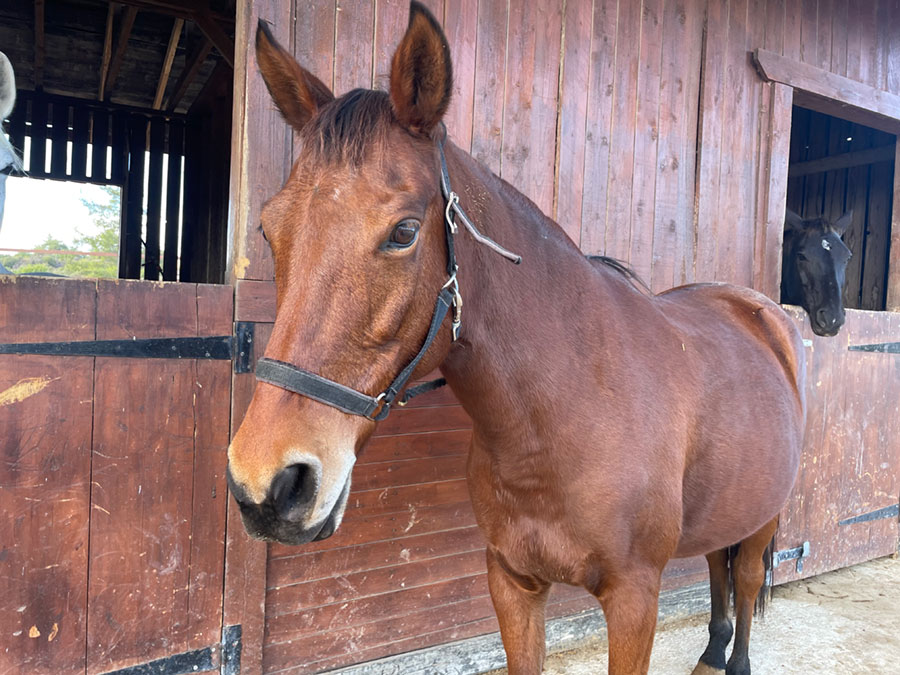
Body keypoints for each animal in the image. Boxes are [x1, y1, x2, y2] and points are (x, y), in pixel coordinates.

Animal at [227, 4, 807, 674]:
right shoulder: (511, 581)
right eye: (270, 230)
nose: (265, 486)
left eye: (403, 232)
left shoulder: (635, 599)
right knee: (718, 562)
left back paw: (733, 660)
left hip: (764, 512)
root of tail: (760, 310)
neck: (565, 412)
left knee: (745, 577)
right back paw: (711, 652)